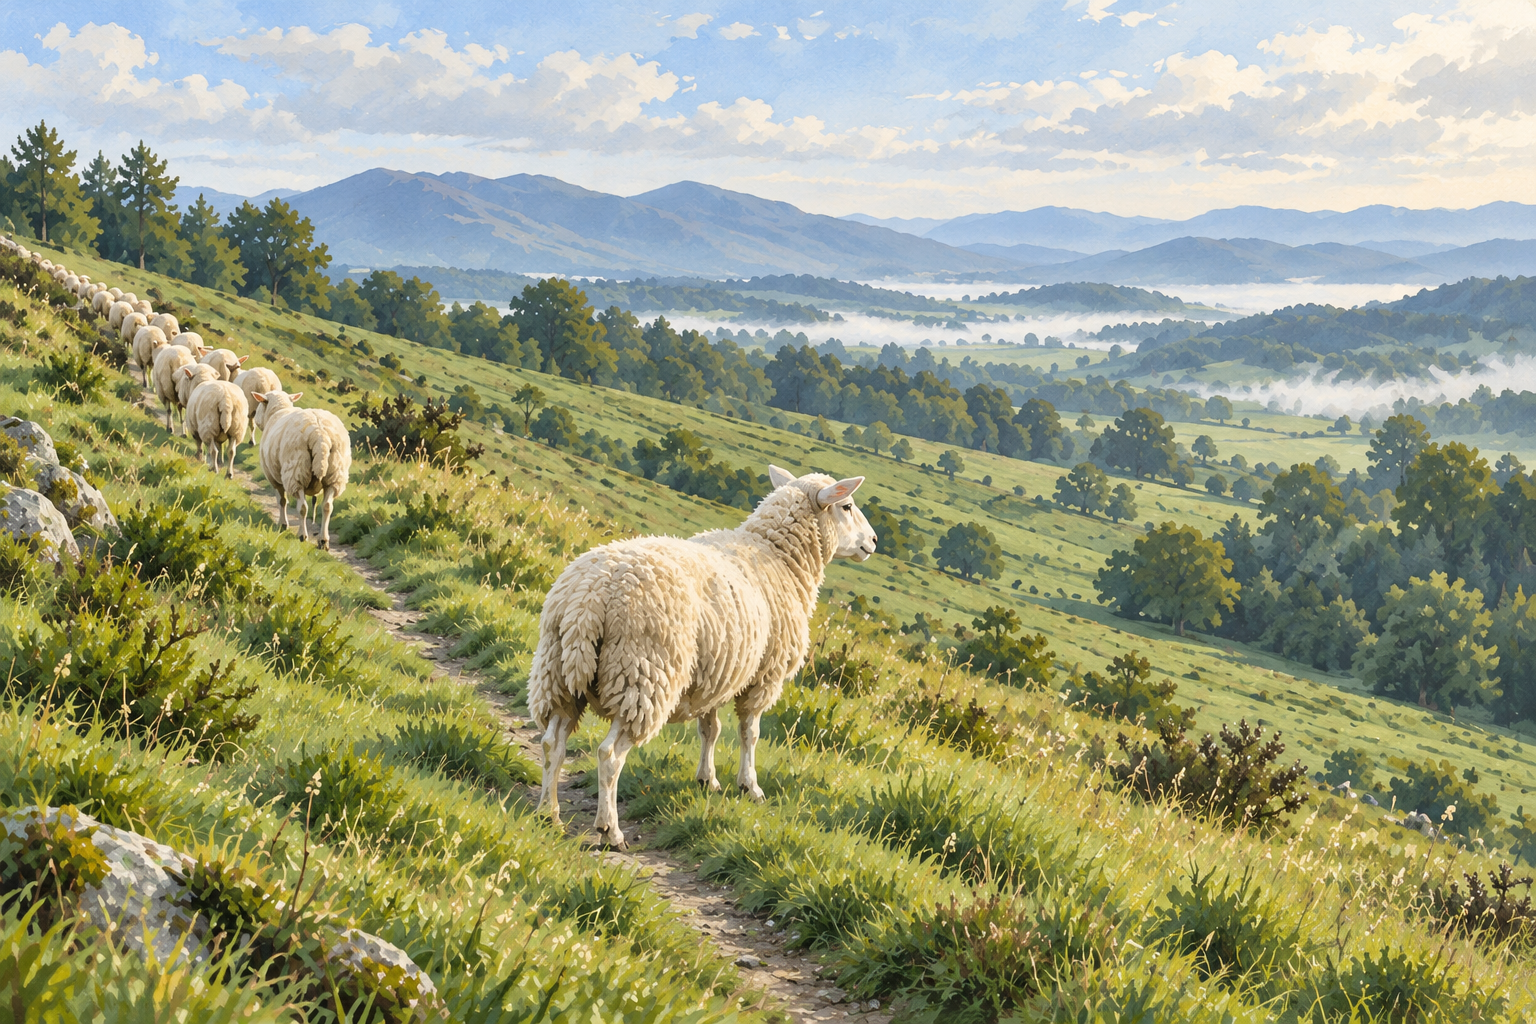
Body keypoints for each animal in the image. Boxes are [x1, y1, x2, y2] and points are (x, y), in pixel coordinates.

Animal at [253, 390, 350, 549]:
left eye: (261, 403)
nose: (254, 418)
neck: (278, 410)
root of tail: (320, 435)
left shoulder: (274, 479)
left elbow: (282, 501)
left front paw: (282, 524)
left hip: (295, 472)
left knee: (303, 507)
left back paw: (302, 535)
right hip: (335, 474)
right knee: (327, 506)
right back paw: (323, 540)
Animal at [528, 466, 878, 849]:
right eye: (847, 506)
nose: (874, 541)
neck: (778, 557)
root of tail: (590, 596)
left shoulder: (717, 672)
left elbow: (710, 729)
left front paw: (707, 779)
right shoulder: (764, 675)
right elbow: (749, 733)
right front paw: (749, 785)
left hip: (557, 673)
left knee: (552, 744)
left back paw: (548, 814)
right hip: (642, 675)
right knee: (609, 755)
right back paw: (610, 830)